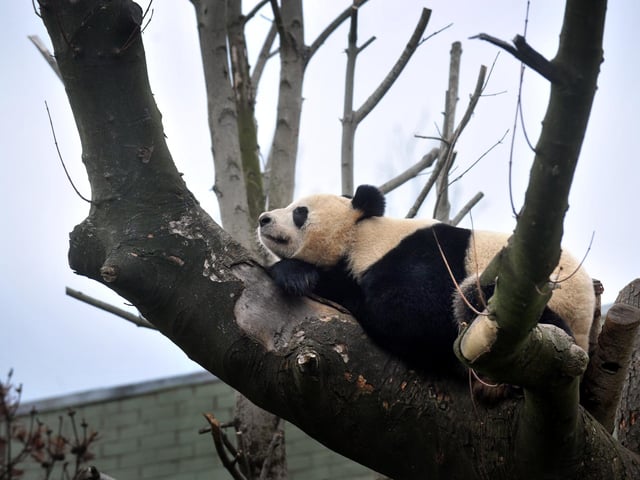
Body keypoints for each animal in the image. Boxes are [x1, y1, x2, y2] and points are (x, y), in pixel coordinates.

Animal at [258, 184, 595, 376]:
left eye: (299, 212)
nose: (263, 219)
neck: (362, 236)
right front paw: (294, 273)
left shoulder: (423, 258)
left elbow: (416, 316)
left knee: (477, 299)